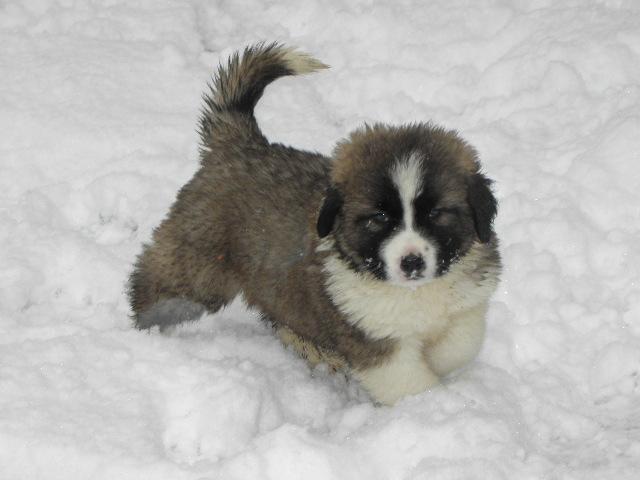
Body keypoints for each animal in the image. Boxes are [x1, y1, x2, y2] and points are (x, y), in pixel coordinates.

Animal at [128, 43, 501, 405]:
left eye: (436, 214)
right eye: (379, 218)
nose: (411, 262)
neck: (415, 291)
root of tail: (241, 144)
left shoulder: (468, 302)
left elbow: (460, 344)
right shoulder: (373, 337)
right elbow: (408, 380)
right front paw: (427, 402)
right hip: (198, 262)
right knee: (160, 288)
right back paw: (143, 335)